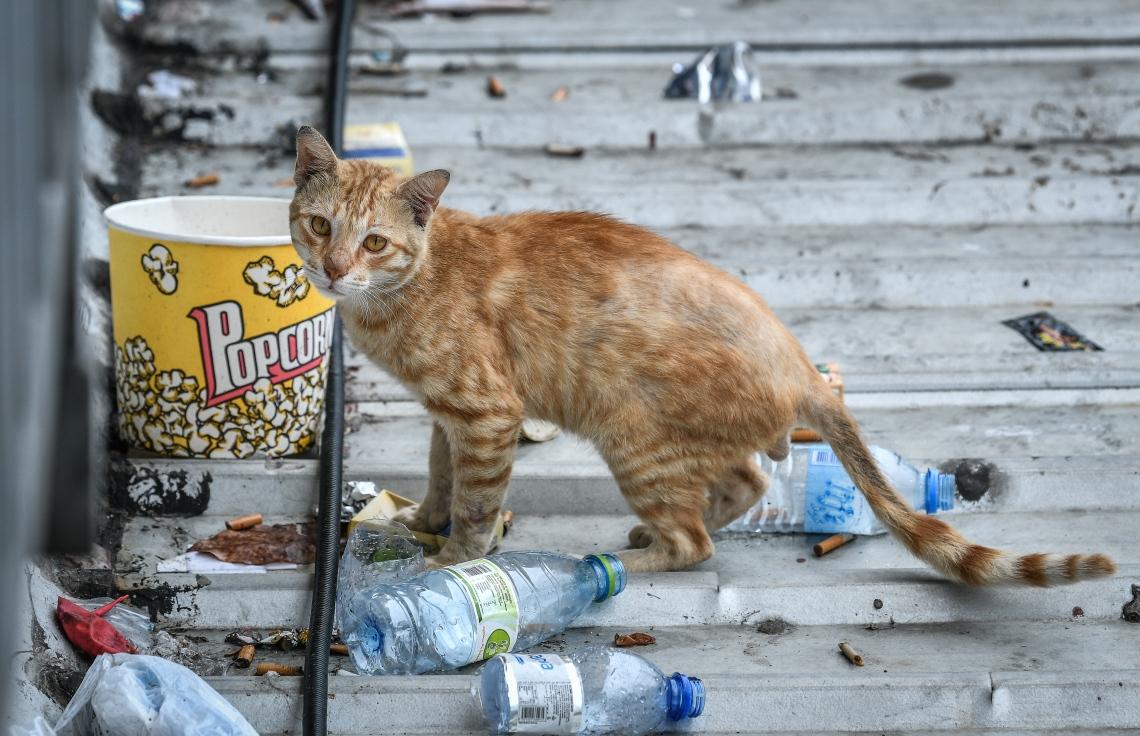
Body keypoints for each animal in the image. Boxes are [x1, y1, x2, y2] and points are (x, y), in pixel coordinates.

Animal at [287, 125, 1112, 587]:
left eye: (373, 242)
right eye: (319, 224)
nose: (332, 268)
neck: (407, 287)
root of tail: (801, 365)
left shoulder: (486, 415)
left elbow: (476, 504)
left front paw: (454, 559)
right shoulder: (449, 418)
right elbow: (439, 476)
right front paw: (423, 519)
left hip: (631, 438)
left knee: (697, 545)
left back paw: (615, 564)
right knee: (747, 481)